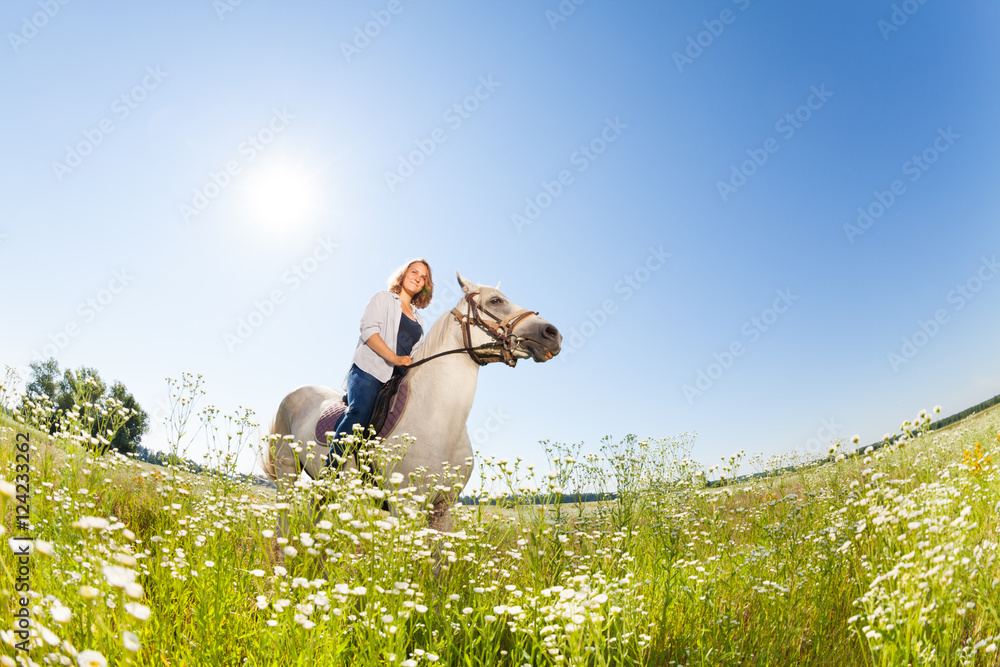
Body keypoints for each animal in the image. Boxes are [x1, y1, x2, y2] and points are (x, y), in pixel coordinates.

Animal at [264, 272, 564, 536]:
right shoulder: (405, 507)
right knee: (283, 524)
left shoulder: (444, 507)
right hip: (287, 476)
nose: (553, 334)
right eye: (495, 301)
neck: (440, 420)